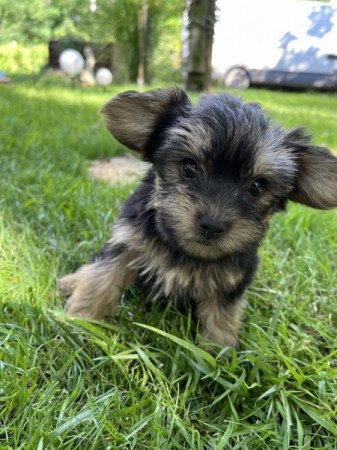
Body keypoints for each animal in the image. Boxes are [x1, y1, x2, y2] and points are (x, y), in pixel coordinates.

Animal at [59, 89, 336, 348]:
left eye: (257, 187)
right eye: (188, 167)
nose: (212, 225)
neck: (182, 249)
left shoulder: (233, 274)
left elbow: (222, 313)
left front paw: (218, 352)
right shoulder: (127, 239)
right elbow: (102, 279)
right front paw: (81, 319)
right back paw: (70, 282)